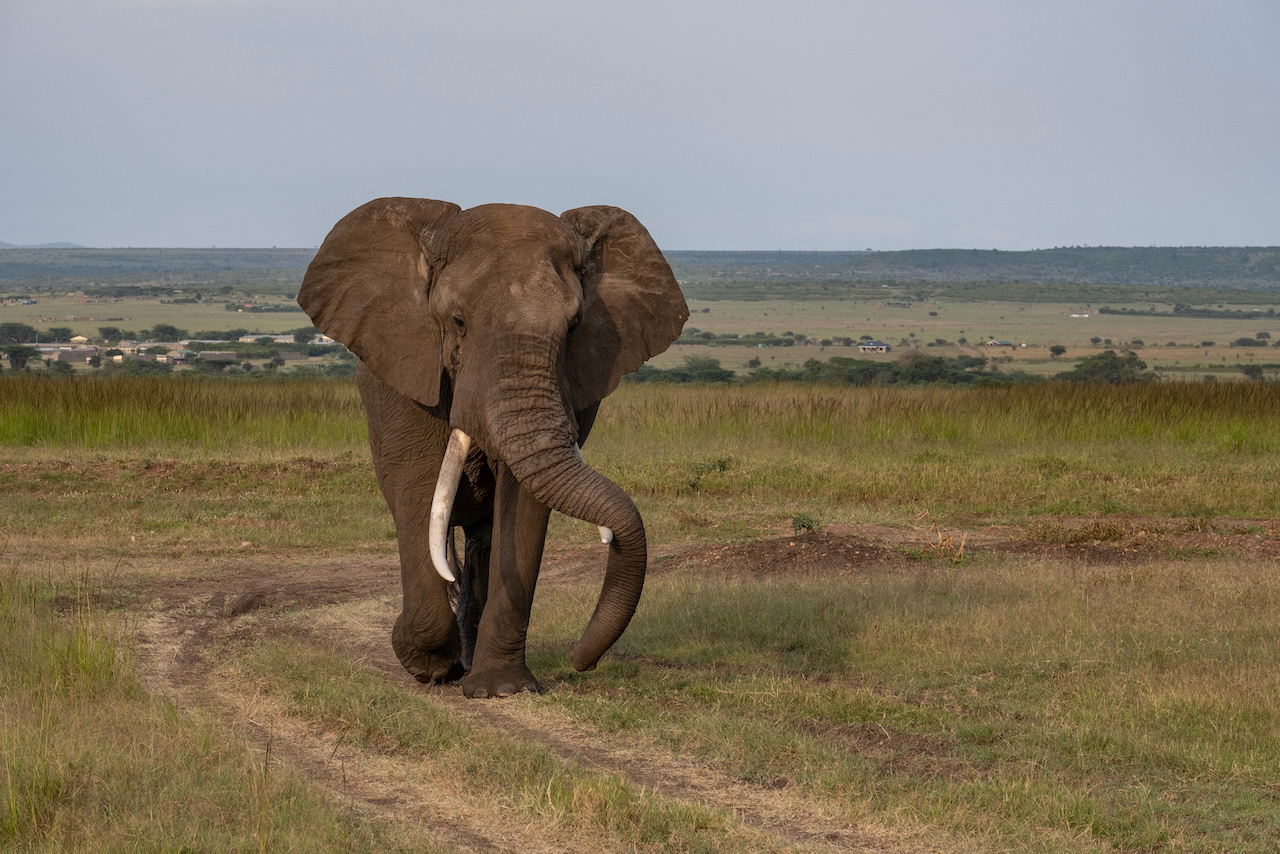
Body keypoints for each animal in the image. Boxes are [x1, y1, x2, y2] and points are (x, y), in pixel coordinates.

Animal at [297, 198, 688, 698]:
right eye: (458, 322)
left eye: (573, 327)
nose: (581, 661)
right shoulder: (403, 373)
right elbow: (419, 489)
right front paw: (424, 662)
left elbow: (523, 507)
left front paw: (501, 689)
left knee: (482, 540)